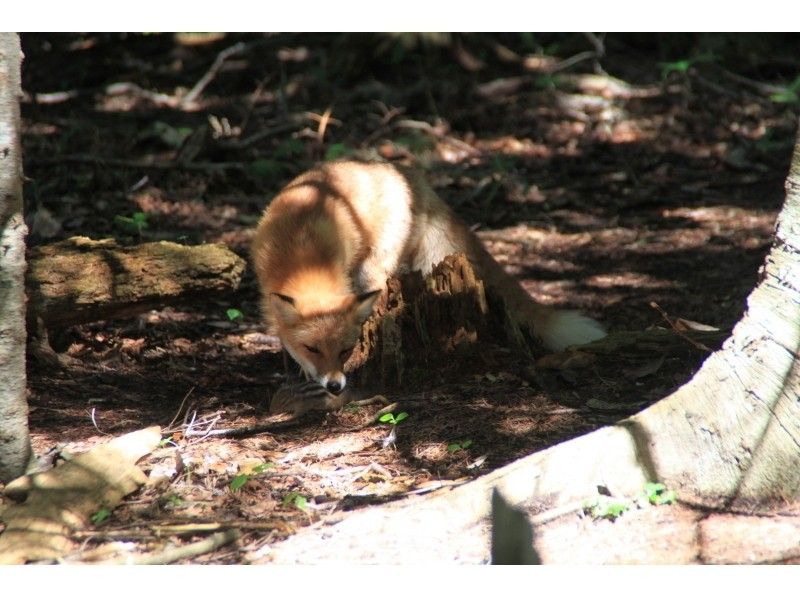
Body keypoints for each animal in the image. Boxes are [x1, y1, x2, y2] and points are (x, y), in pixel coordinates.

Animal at [253, 161, 604, 394]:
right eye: (313, 348)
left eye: (344, 350)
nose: (336, 386)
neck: (302, 255)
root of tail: (405, 172)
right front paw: (296, 369)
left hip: (374, 267)